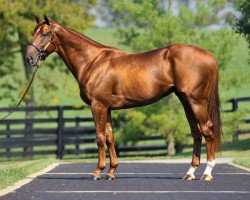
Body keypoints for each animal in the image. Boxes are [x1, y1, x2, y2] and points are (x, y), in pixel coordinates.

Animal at [25, 16, 221, 181]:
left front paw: (97, 172)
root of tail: (209, 56)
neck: (93, 62)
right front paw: (111, 171)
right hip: (185, 101)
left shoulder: (98, 105)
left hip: (196, 101)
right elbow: (110, 137)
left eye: (44, 34)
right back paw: (190, 173)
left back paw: (207, 173)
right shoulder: (107, 108)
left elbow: (99, 138)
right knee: (196, 132)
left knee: (207, 130)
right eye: (34, 32)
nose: (29, 58)